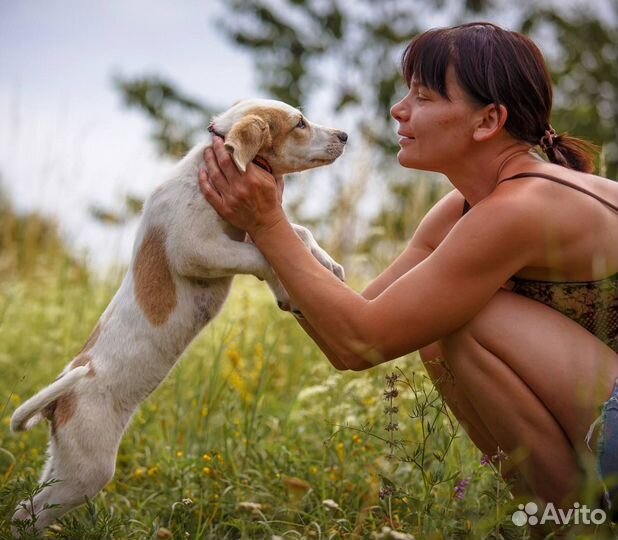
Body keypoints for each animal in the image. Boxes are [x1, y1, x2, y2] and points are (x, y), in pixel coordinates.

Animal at [10, 98, 346, 532]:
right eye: (300, 124)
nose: (345, 136)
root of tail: (62, 395)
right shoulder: (197, 248)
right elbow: (265, 256)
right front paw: (291, 289)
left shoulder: (245, 230)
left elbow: (297, 235)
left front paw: (327, 266)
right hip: (86, 469)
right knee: (27, 513)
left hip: (63, 462)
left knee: (28, 509)